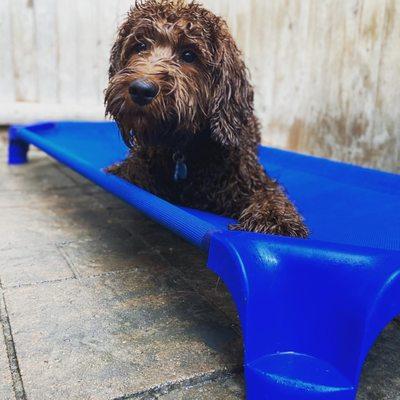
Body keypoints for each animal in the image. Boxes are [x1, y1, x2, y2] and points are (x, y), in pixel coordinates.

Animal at [104, 0, 308, 238]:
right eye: (140, 46)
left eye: (189, 55)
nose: (141, 90)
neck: (184, 149)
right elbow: (132, 172)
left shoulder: (251, 180)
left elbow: (270, 196)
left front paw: (273, 219)